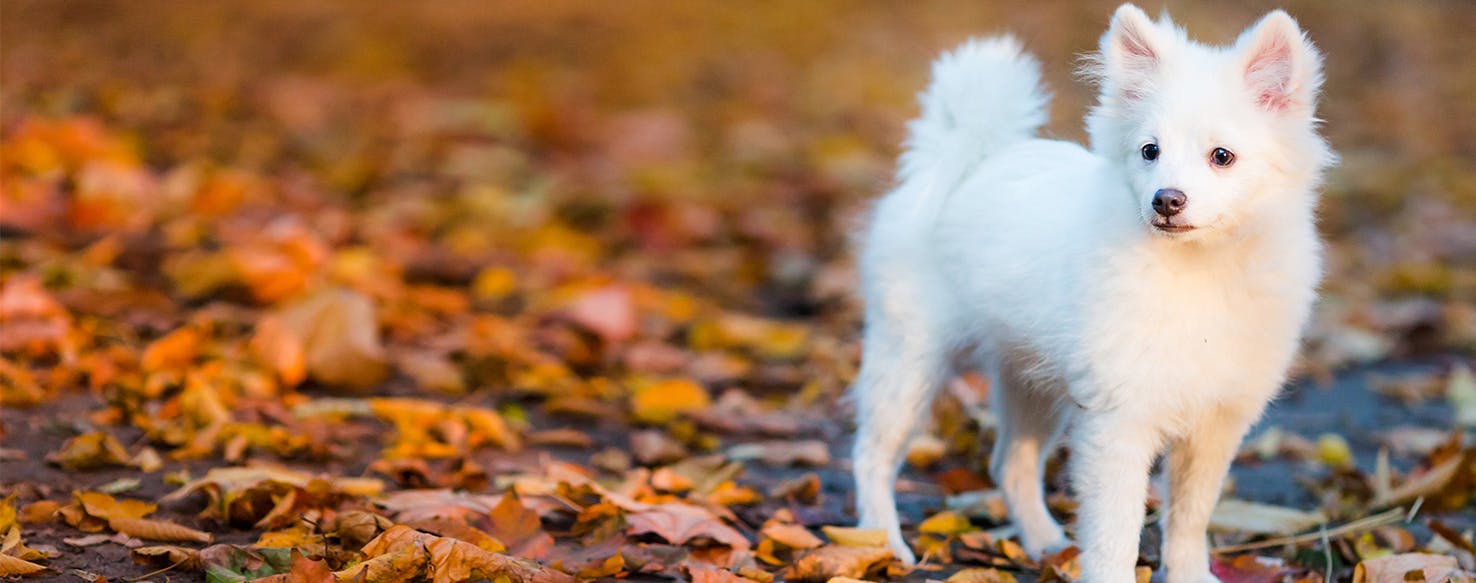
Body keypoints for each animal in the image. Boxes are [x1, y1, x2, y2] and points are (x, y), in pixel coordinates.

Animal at [850, 5, 1334, 583]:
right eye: (1149, 151)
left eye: (1223, 156)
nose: (1166, 199)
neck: (1199, 269)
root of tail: (969, 155)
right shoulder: (1118, 424)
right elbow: (1114, 535)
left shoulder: (1214, 425)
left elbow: (1189, 518)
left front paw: (1190, 575)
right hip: (910, 359)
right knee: (872, 454)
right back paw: (881, 543)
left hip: (1028, 380)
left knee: (1010, 464)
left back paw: (1042, 544)